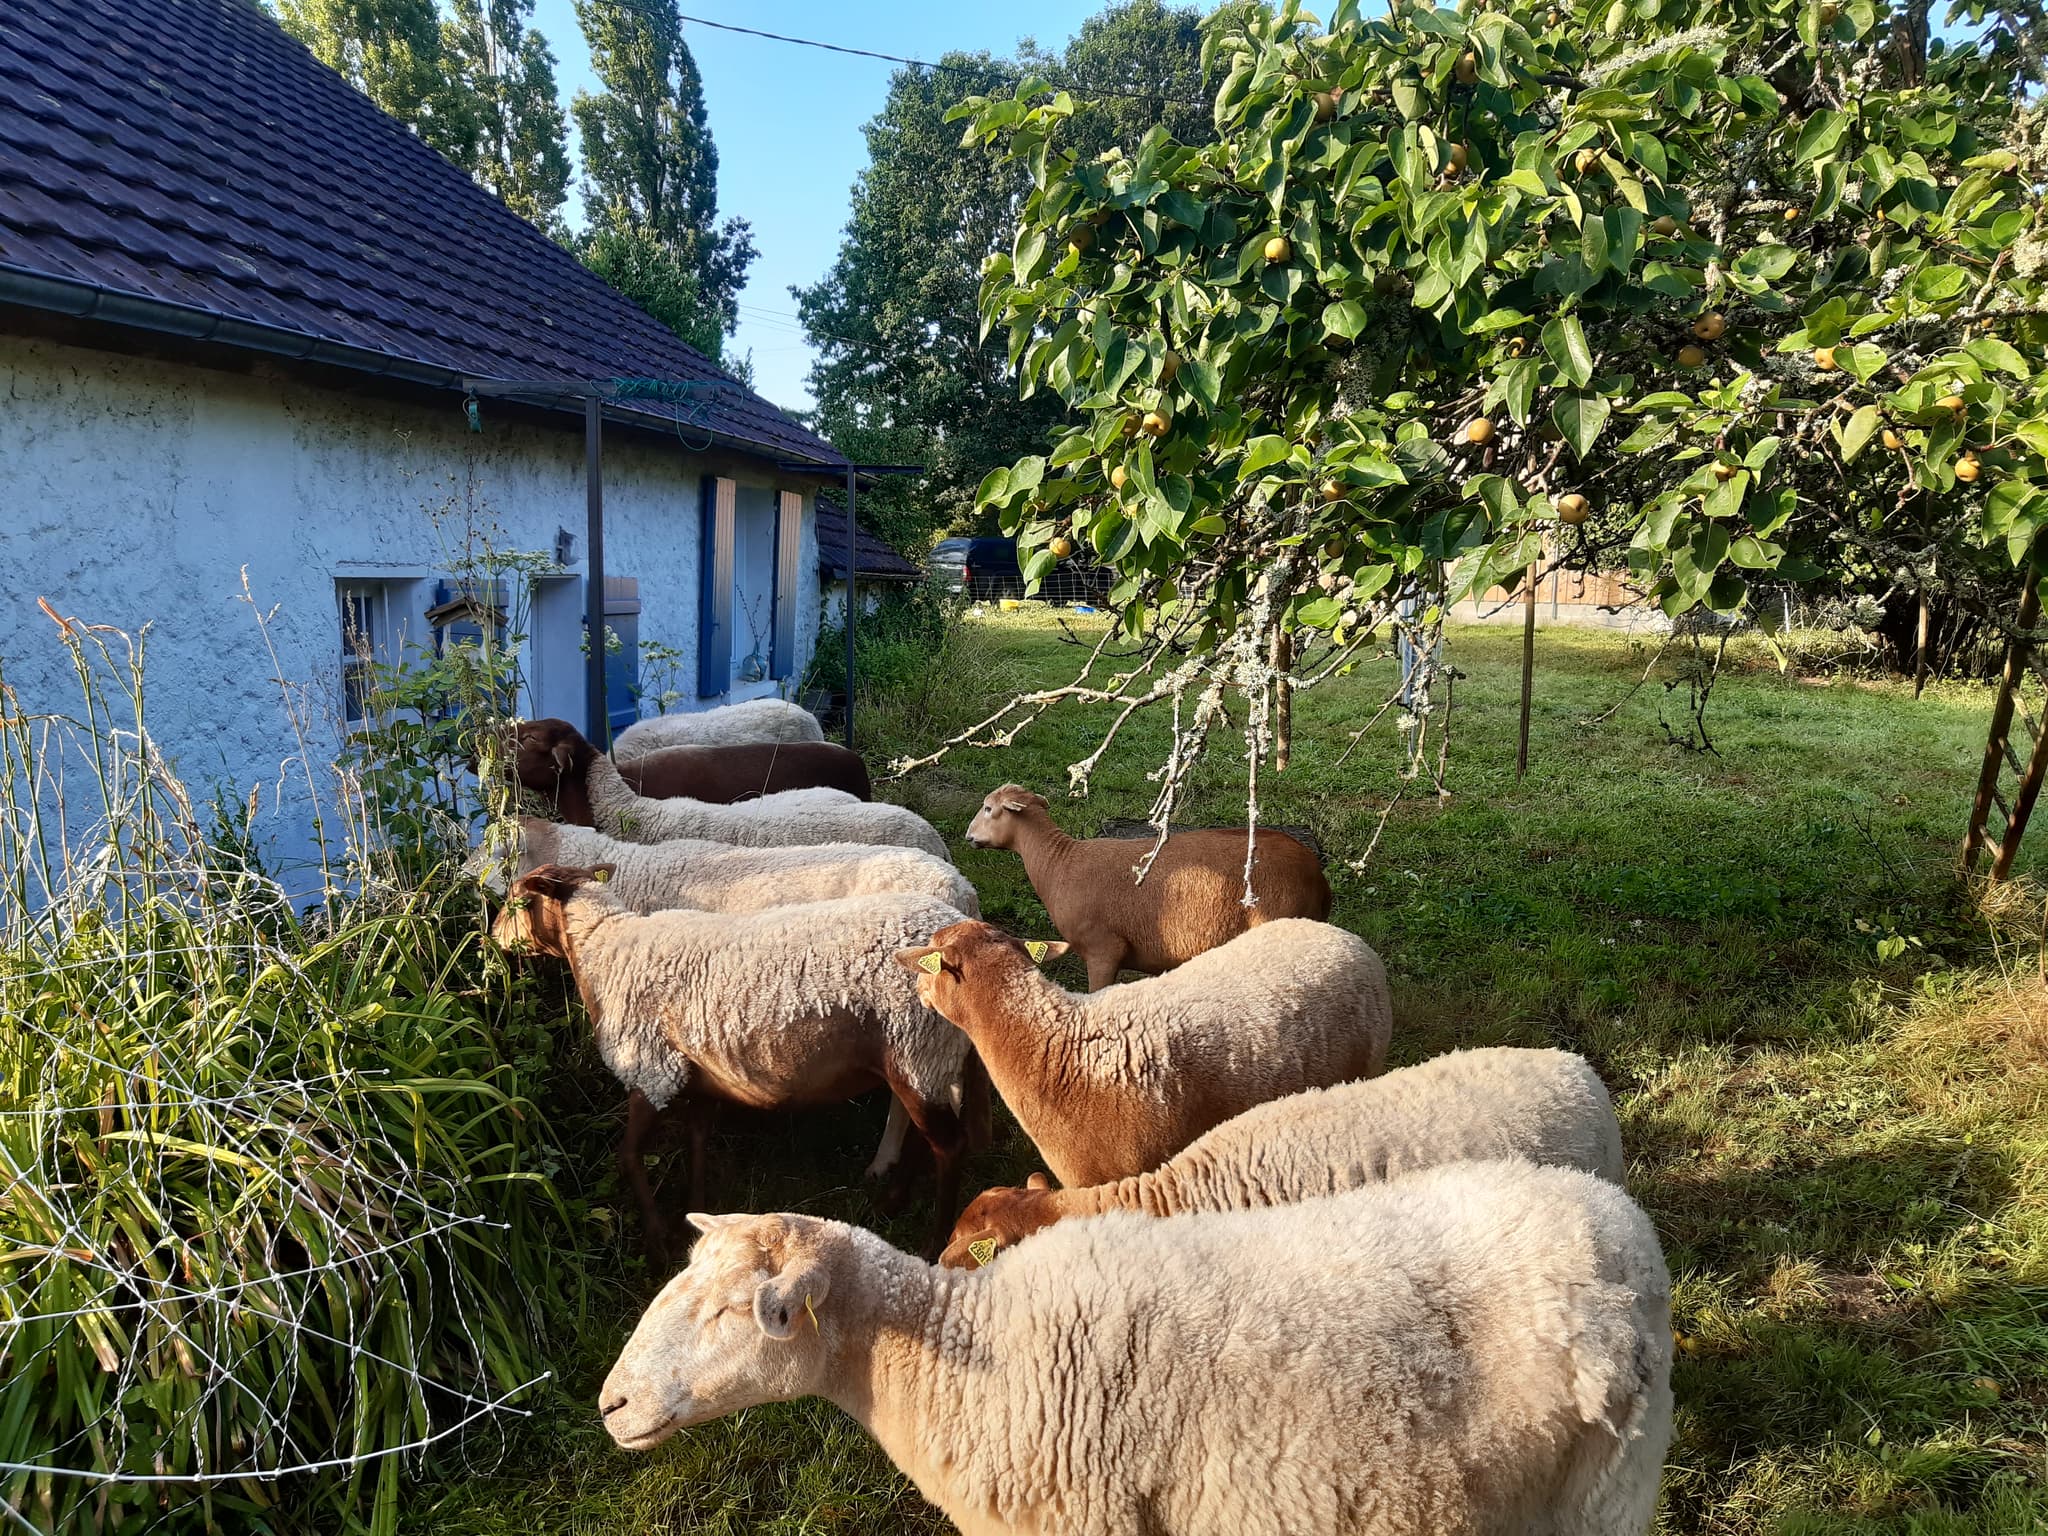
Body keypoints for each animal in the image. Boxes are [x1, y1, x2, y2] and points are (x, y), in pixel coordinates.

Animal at [493, 864, 975, 1259]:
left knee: (951, 1146)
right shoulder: (697, 1076)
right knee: (925, 1136)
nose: (491, 939)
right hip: (925, 1058)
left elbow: (628, 1156)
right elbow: (697, 1143)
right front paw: (695, 1219)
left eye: (516, 900)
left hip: (917, 1047)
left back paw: (934, 1242)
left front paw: (658, 1242)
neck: (604, 953)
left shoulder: (651, 1070)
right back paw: (893, 1200)